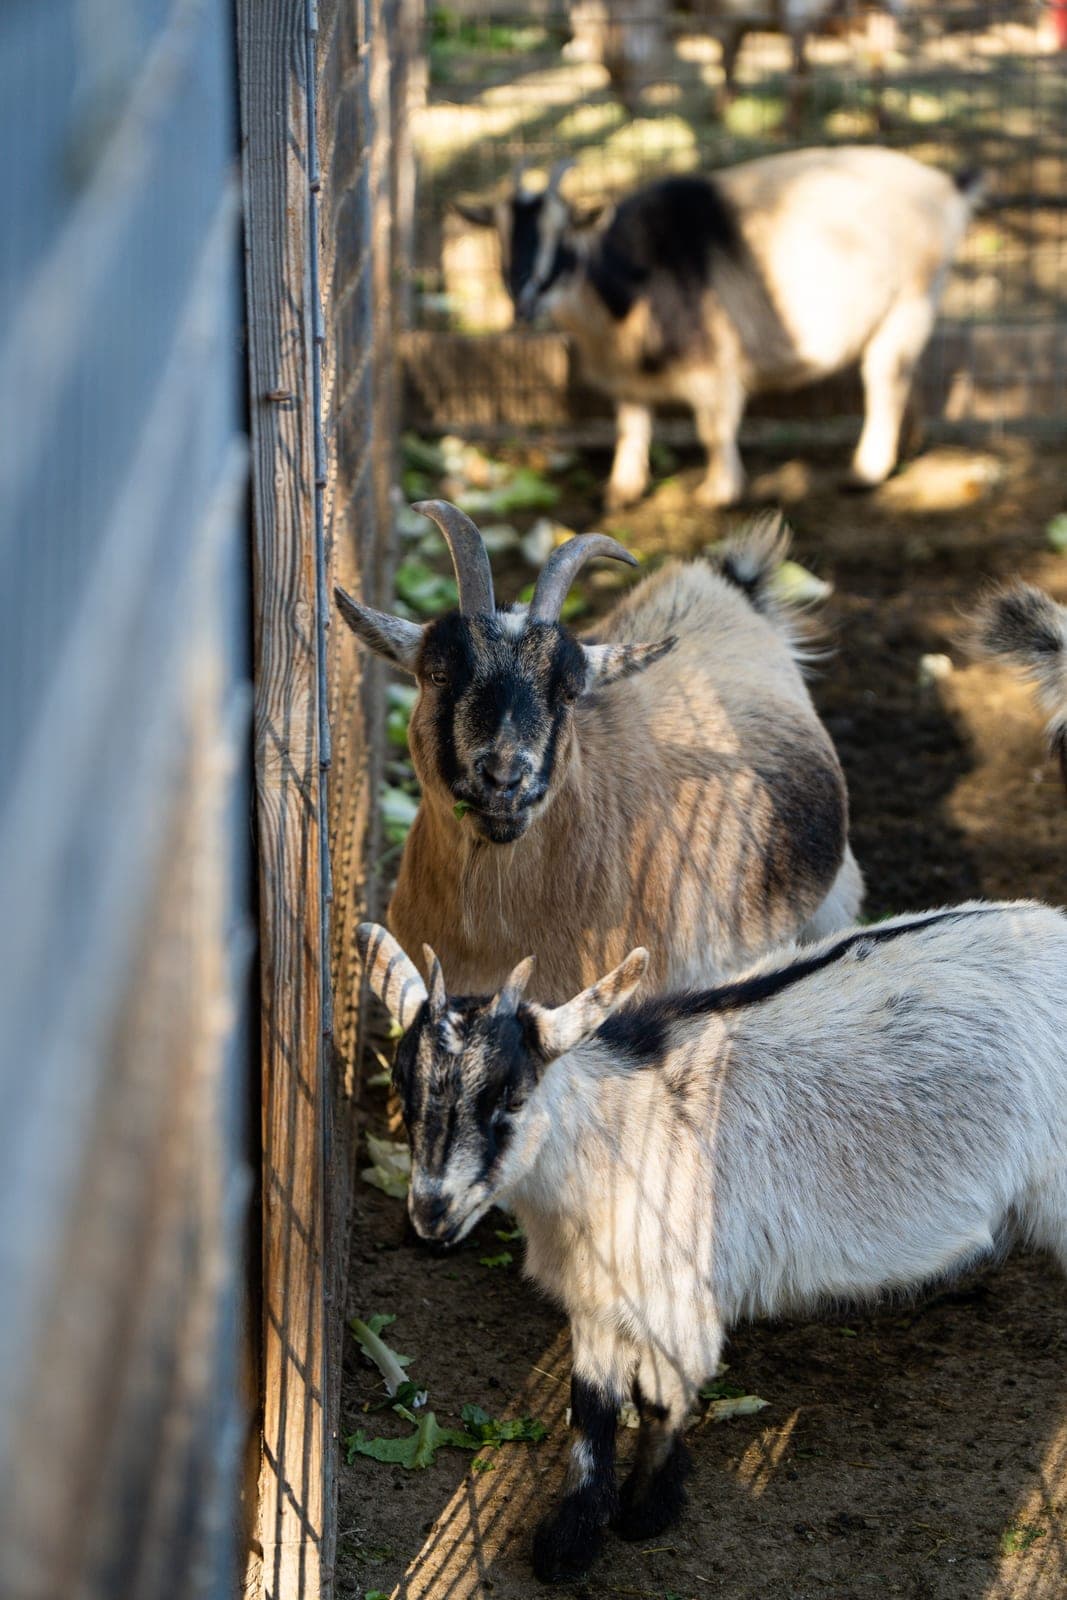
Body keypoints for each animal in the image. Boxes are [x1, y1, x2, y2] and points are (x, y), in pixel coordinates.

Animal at [359, 900, 1067, 1582]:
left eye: (511, 1096)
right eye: (402, 1087)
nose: (431, 1211)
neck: (615, 1130)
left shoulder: (678, 1297)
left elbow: (659, 1402)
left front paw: (647, 1511)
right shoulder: (598, 1290)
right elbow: (591, 1406)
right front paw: (572, 1537)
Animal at [456, 151, 981, 510]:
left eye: (561, 236)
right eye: (500, 236)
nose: (523, 301)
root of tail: (946, 187)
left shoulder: (711, 361)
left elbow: (713, 428)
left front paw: (720, 491)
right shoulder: (625, 370)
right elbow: (631, 423)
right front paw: (623, 489)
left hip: (911, 295)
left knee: (885, 377)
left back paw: (865, 471)